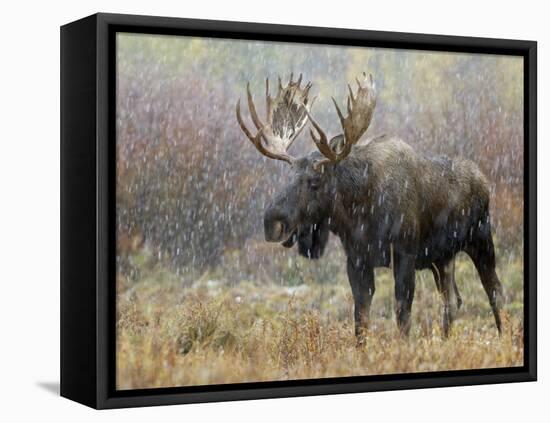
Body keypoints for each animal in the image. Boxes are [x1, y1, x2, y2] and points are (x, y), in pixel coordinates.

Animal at [235, 73, 506, 342]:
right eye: (288, 176)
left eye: (315, 181)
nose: (271, 222)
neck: (360, 212)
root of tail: (484, 180)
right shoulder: (357, 259)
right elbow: (361, 318)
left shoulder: (404, 251)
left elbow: (402, 313)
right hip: (442, 257)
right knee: (452, 300)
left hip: (481, 239)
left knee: (495, 292)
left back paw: (504, 338)